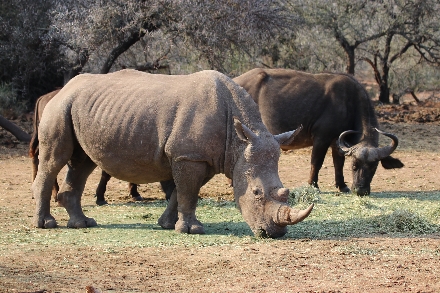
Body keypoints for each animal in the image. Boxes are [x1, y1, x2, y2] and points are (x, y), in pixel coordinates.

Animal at [31, 69, 312, 237]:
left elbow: (182, 192)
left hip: (81, 108)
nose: (273, 233)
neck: (238, 143)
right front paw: (192, 230)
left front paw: (167, 224)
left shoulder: (202, 157)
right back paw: (46, 224)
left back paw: (83, 223)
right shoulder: (189, 156)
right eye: (255, 193)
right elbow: (189, 192)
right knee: (54, 159)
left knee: (82, 162)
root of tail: (63, 88)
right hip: (59, 107)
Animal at [235, 68, 404, 195]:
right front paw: (313, 185)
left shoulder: (337, 141)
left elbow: (338, 163)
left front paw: (342, 185)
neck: (349, 103)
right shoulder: (321, 138)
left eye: (374, 167)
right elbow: (316, 162)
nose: (361, 190)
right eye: (354, 165)